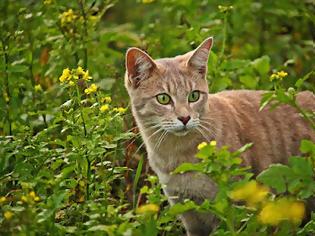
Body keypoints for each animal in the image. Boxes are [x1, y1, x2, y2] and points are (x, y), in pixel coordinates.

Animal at [124, 37, 314, 236]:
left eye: (194, 96)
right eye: (163, 99)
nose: (185, 118)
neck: (176, 154)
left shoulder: (230, 208)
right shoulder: (188, 213)